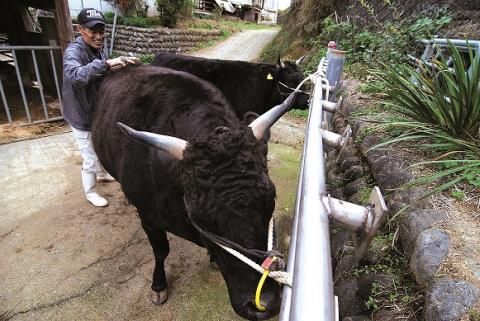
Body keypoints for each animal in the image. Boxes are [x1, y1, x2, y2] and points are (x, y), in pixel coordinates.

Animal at [90, 65, 294, 320]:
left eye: (271, 200)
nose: (263, 305)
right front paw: (158, 285)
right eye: (200, 218)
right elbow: (161, 250)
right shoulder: (148, 215)